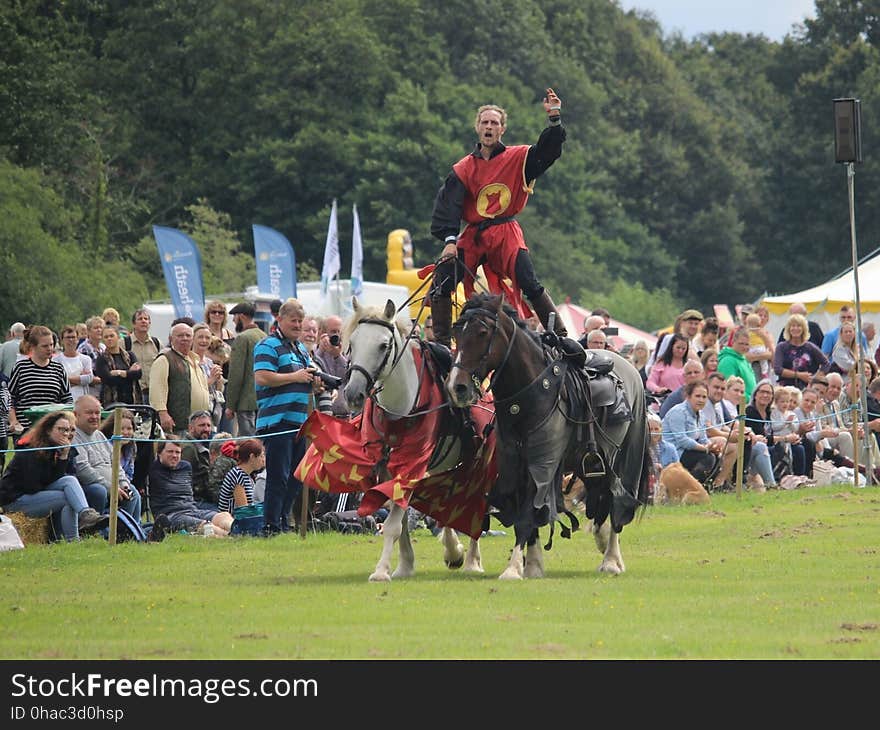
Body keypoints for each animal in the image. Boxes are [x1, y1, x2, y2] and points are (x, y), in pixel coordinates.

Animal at [342, 296, 484, 580]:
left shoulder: (411, 465)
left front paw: (381, 571)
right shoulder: (390, 468)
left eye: (383, 345)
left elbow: (394, 524)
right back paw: (453, 551)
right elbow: (402, 519)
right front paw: (404, 565)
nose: (353, 394)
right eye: (352, 343)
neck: (401, 408)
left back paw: (472, 559)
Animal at [450, 292, 648, 576]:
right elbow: (527, 515)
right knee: (600, 498)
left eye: (482, 332)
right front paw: (532, 565)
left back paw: (610, 559)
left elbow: (527, 515)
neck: (531, 393)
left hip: (618, 457)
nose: (458, 387)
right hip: (590, 462)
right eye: (457, 332)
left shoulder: (543, 461)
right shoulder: (514, 463)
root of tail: (628, 368)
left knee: (615, 499)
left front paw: (513, 569)